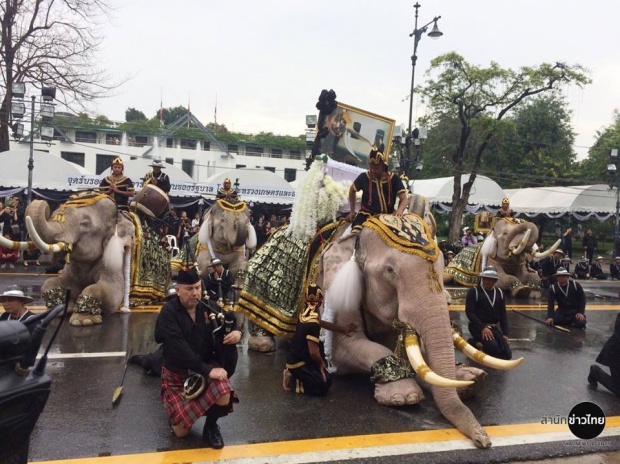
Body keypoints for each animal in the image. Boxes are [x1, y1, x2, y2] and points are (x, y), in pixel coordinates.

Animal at [0, 192, 170, 326]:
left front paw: (82, 320)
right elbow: (51, 283)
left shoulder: (117, 255)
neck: (119, 215)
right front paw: (61, 309)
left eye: (85, 223)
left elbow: (111, 291)